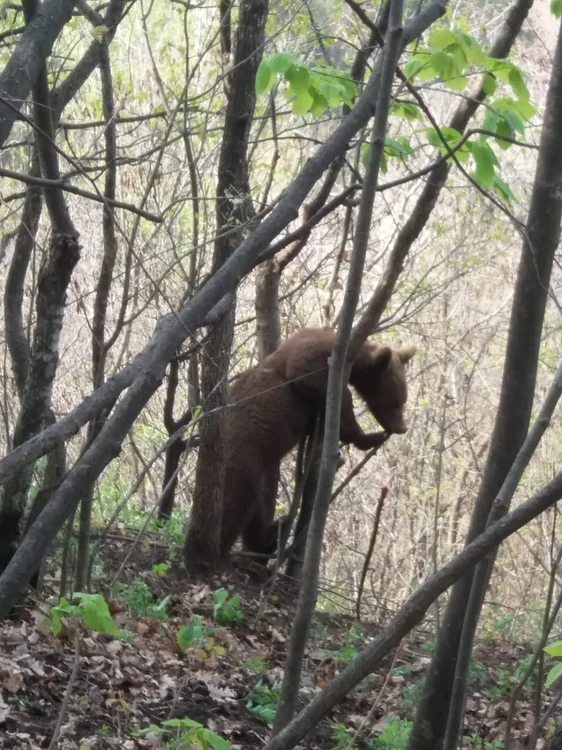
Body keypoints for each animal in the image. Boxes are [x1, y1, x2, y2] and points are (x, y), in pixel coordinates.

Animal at [219, 326, 416, 560]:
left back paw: (272, 534)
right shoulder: (311, 356)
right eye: (395, 402)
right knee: (235, 497)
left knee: (256, 511)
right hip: (244, 448)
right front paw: (365, 434)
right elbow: (310, 377)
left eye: (403, 401)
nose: (401, 427)